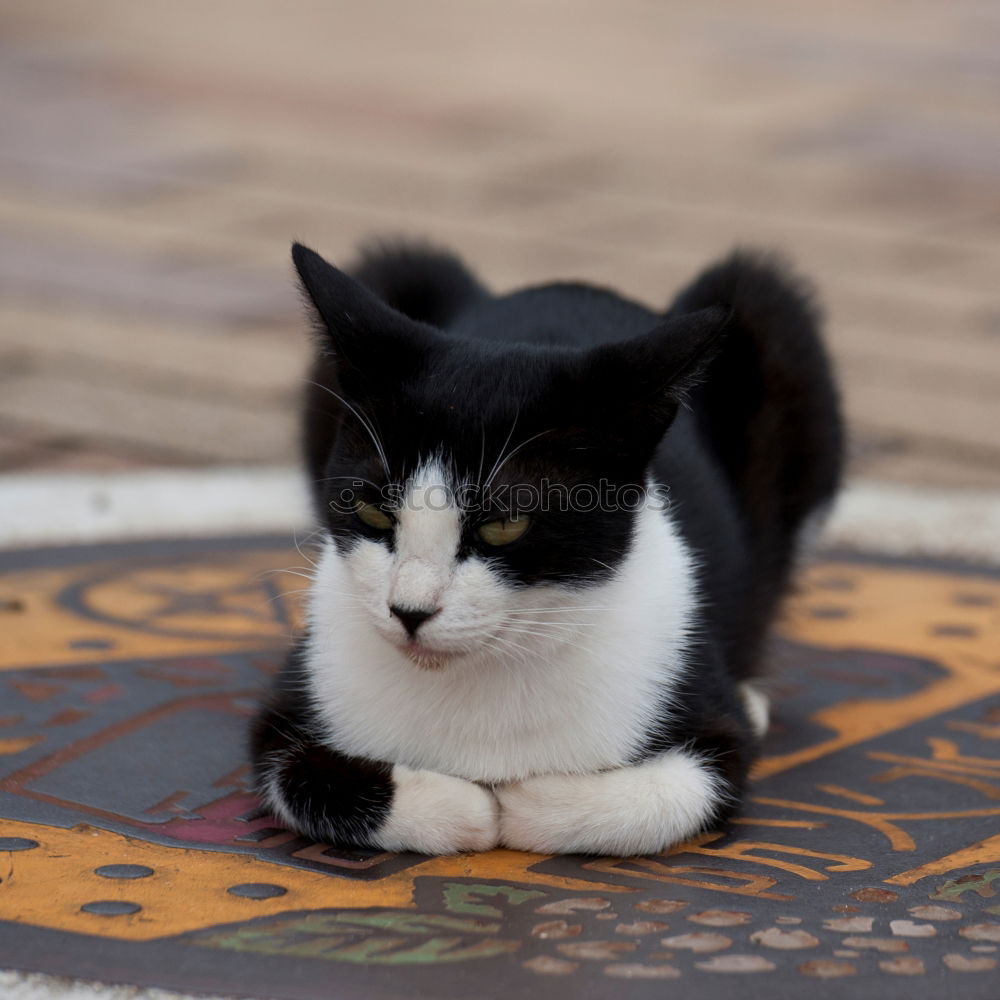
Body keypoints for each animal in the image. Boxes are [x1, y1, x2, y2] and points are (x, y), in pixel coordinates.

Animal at [246, 240, 840, 852]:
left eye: (505, 525)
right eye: (370, 510)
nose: (408, 612)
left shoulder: (709, 727)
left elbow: (671, 792)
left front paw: (518, 803)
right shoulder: (287, 709)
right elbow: (295, 773)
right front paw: (461, 806)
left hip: (774, 320)